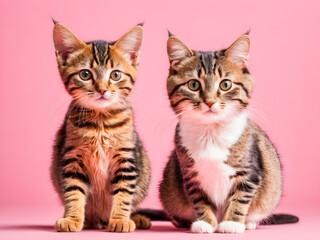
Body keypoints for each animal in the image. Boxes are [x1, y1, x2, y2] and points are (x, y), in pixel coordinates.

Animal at [50, 22, 151, 232]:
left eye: (116, 75)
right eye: (85, 74)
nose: (102, 89)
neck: (100, 123)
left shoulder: (126, 159)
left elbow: (123, 193)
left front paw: (120, 220)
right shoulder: (72, 158)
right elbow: (74, 191)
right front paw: (72, 219)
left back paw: (137, 218)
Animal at [159, 33, 298, 232]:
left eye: (225, 84)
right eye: (193, 84)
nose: (209, 102)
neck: (210, 132)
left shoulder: (250, 172)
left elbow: (240, 199)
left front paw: (232, 223)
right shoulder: (190, 175)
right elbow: (199, 201)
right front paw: (205, 223)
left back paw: (249, 223)